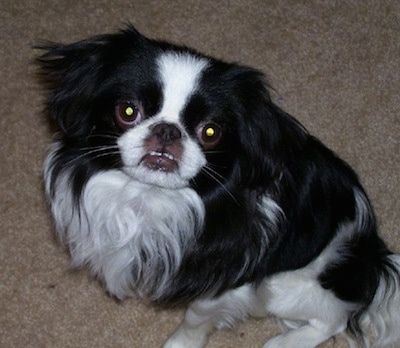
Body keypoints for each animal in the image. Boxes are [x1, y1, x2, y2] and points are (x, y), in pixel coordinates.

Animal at [37, 25, 400, 346]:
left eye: (210, 132)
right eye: (127, 111)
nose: (167, 131)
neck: (150, 197)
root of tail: (373, 254)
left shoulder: (223, 281)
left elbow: (195, 319)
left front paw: (179, 345)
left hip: (288, 286)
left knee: (335, 318)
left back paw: (283, 343)